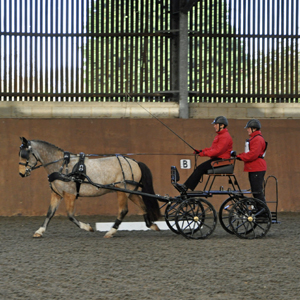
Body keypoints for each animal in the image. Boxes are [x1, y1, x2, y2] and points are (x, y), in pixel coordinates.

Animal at [18, 137, 162, 238]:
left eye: (25, 154)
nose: (21, 173)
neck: (62, 165)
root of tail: (135, 162)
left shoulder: (69, 194)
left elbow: (70, 215)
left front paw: (88, 227)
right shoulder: (57, 194)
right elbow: (49, 213)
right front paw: (39, 231)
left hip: (122, 191)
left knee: (123, 210)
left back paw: (110, 232)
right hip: (130, 192)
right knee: (143, 206)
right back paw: (152, 225)